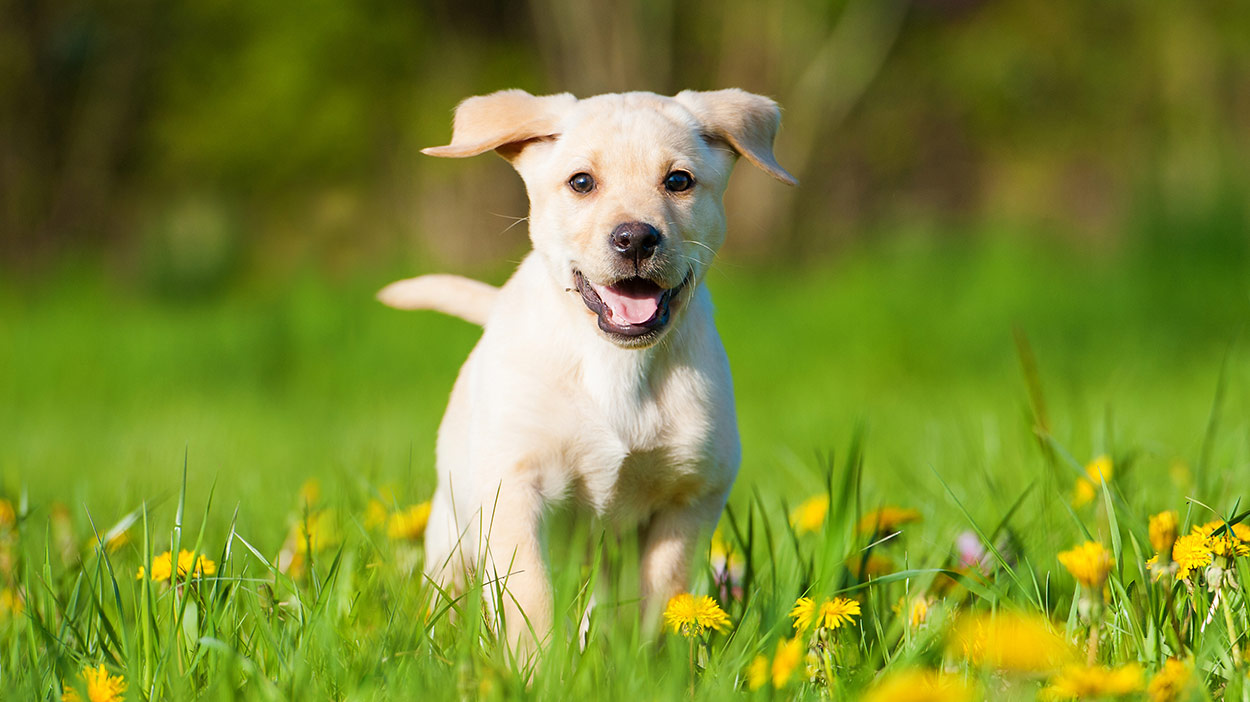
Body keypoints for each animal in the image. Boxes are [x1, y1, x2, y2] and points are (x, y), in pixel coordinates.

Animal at [375, 87, 795, 649]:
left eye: (678, 180)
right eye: (581, 182)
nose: (635, 238)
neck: (615, 363)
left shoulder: (688, 498)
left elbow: (663, 600)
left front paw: (653, 662)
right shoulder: (514, 492)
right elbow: (530, 600)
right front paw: (532, 665)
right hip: (453, 531)